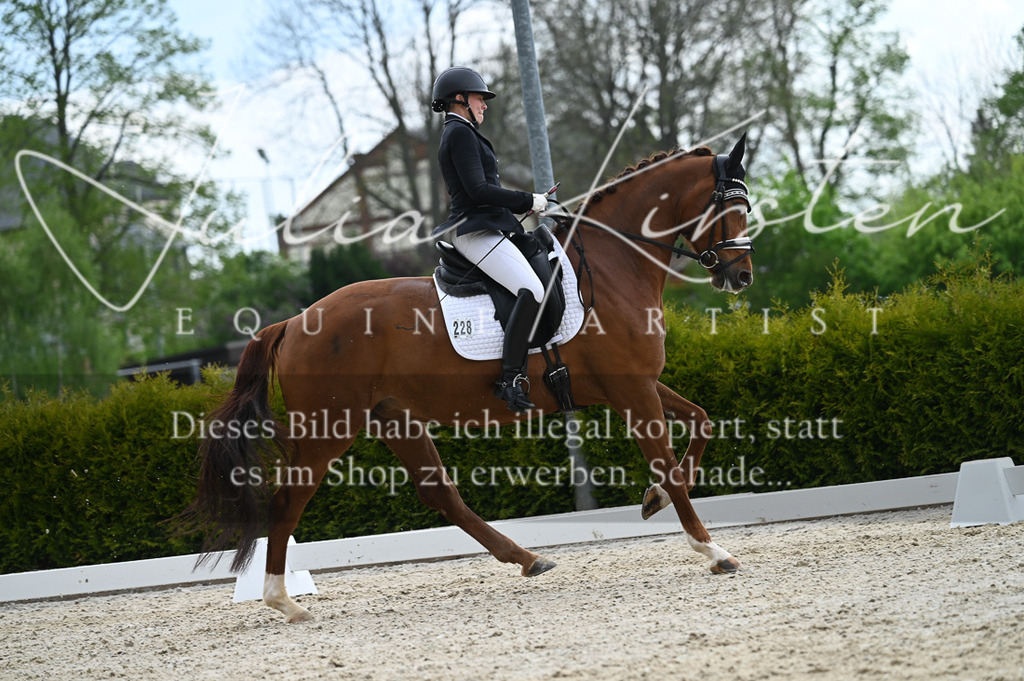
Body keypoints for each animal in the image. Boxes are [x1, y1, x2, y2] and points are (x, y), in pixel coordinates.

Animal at [183, 135, 755, 623]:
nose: (740, 277)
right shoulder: (631, 390)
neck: (613, 267)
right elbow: (670, 464)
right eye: (728, 208)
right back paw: (284, 601)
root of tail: (294, 322)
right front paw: (713, 551)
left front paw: (653, 500)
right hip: (330, 426)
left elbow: (701, 422)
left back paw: (527, 558)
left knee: (440, 493)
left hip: (393, 419)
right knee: (288, 501)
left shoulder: (636, 384)